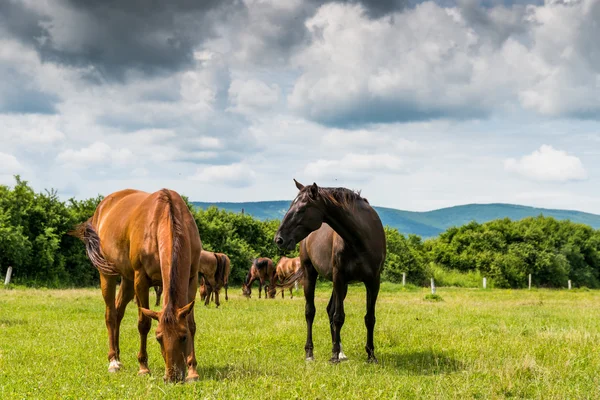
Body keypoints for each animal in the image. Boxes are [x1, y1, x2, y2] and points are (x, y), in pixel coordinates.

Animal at [70, 189, 202, 382]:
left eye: (183, 337)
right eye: (158, 338)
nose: (172, 376)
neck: (167, 217)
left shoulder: (192, 279)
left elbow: (191, 324)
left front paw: (192, 371)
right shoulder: (141, 279)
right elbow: (144, 324)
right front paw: (143, 367)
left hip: (128, 280)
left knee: (118, 313)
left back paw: (118, 356)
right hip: (108, 275)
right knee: (110, 315)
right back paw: (113, 361)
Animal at [276, 180, 386, 364]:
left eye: (301, 209)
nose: (279, 239)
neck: (361, 238)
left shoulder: (373, 281)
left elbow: (369, 318)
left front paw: (371, 355)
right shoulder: (339, 277)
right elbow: (338, 317)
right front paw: (333, 356)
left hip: (343, 285)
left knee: (329, 309)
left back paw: (341, 351)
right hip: (311, 275)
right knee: (310, 312)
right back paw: (310, 353)